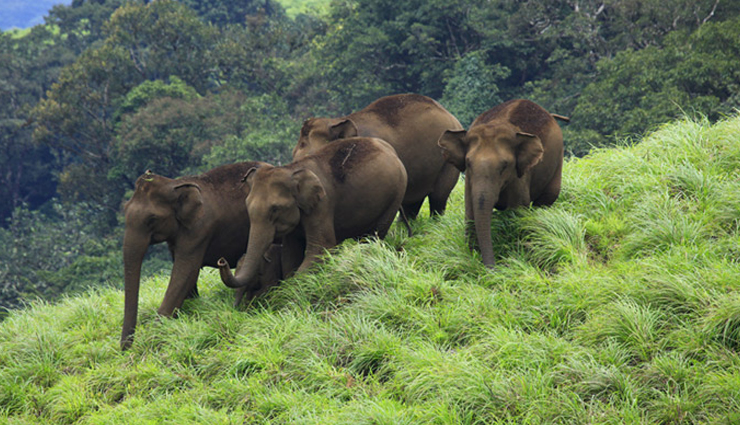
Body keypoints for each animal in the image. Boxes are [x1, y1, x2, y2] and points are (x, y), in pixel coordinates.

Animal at [121, 162, 282, 350]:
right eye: (124, 210)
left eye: (151, 219)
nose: (125, 349)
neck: (175, 184)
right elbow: (186, 276)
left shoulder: (199, 229)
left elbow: (185, 272)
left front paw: (154, 336)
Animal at [219, 137, 407, 289]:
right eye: (247, 207)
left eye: (275, 209)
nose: (222, 260)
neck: (291, 170)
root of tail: (391, 149)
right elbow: (290, 255)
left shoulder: (322, 205)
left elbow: (320, 248)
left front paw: (292, 290)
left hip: (396, 194)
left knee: (375, 234)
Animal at [437, 99, 565, 268]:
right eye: (468, 163)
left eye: (504, 166)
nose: (493, 267)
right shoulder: (470, 179)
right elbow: (470, 209)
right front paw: (472, 256)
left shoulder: (519, 175)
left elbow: (518, 210)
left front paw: (516, 255)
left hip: (558, 160)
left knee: (546, 199)